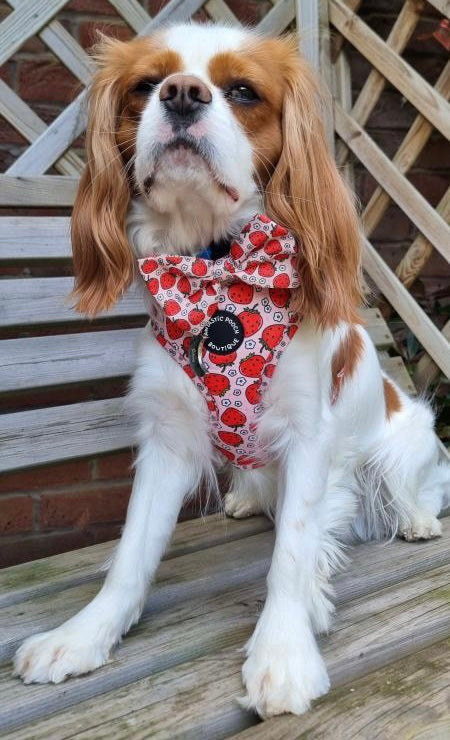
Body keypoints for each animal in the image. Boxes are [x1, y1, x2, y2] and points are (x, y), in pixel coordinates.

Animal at [12, 21, 448, 716]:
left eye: (243, 91)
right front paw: (82, 637)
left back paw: (415, 520)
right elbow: (130, 555)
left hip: (405, 447)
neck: (216, 272)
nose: (182, 93)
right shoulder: (166, 441)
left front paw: (282, 654)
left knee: (414, 488)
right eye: (145, 85)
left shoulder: (309, 437)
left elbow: (292, 554)